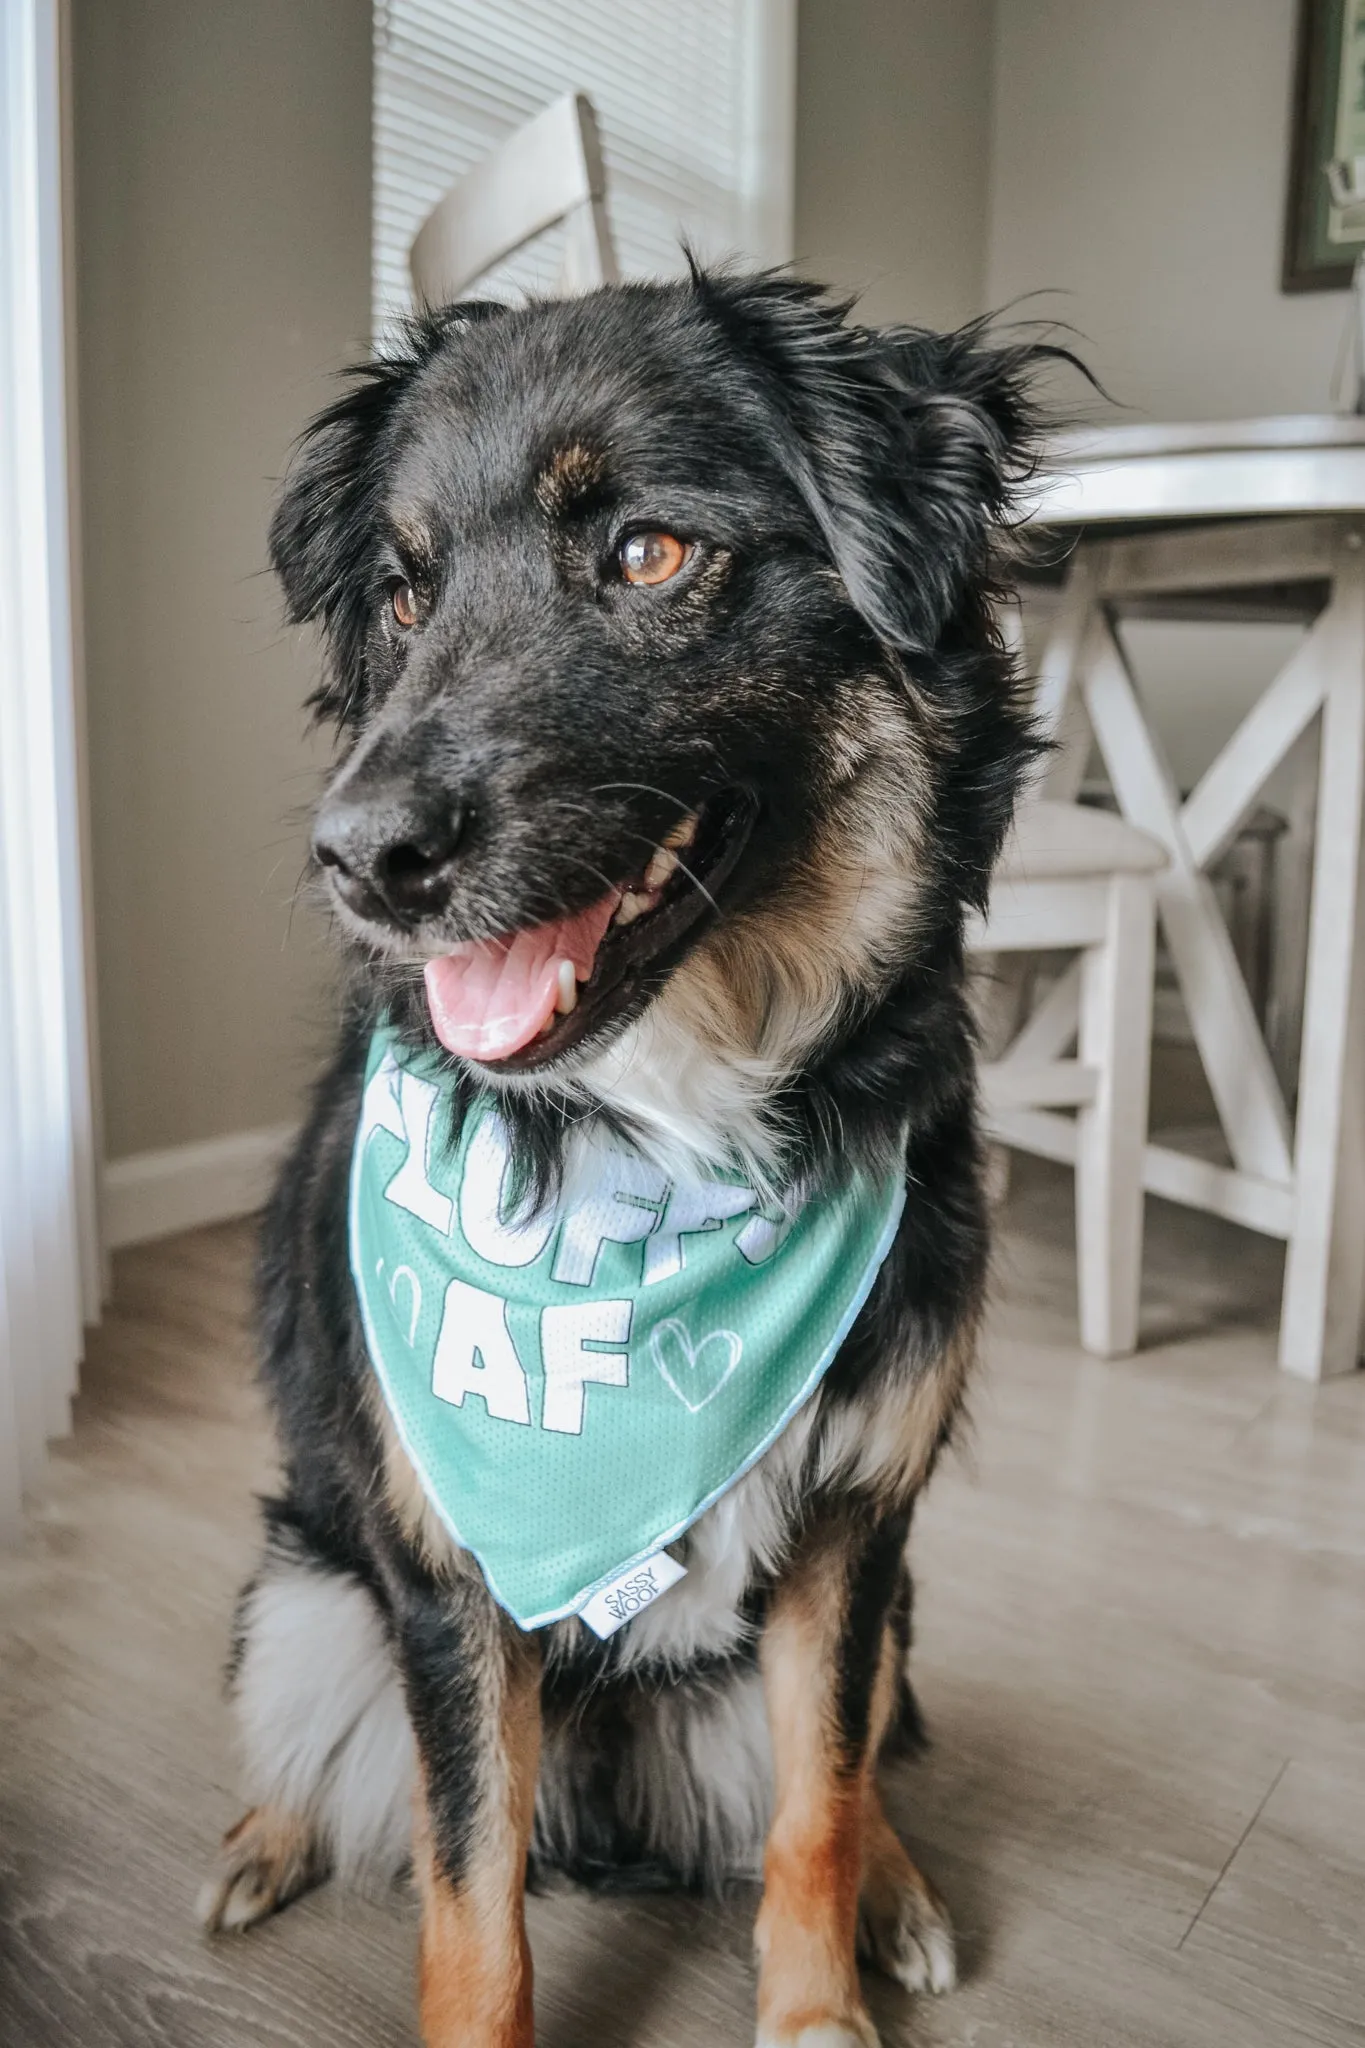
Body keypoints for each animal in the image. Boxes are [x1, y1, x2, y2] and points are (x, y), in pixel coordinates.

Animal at [202, 272, 1055, 2048]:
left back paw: (903, 1886)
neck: (645, 1138)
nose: (357, 858)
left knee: (860, 1769)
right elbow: (470, 1894)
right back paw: (263, 1837)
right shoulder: (446, 1587)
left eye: (651, 553)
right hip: (303, 1581)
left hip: (897, 1600)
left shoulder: (852, 1531)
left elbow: (815, 1807)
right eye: (401, 595)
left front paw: (818, 2015)